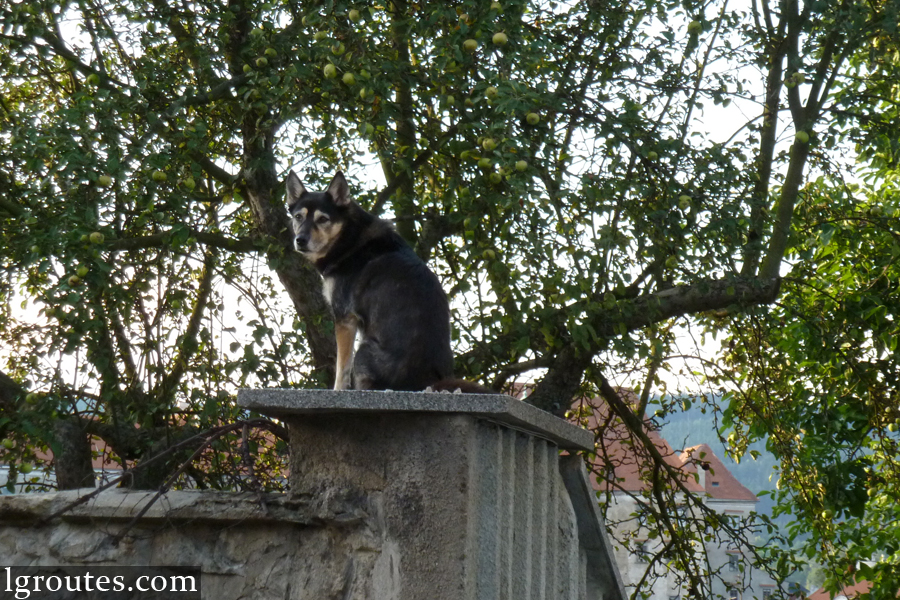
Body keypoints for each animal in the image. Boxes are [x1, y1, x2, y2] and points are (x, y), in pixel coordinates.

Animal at [284, 170, 488, 394]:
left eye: (322, 219)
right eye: (298, 217)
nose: (300, 240)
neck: (349, 237)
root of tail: (428, 383)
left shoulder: (345, 318)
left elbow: (342, 367)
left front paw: (337, 391)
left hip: (363, 351)